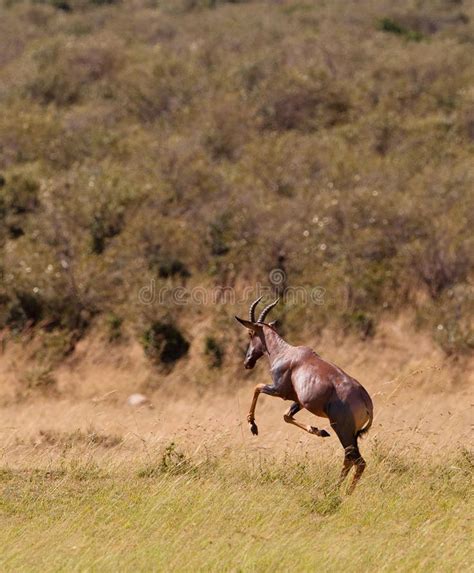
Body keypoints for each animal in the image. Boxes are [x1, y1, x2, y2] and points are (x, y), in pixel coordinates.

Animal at [235, 294, 372, 492]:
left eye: (250, 333)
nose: (247, 362)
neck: (287, 353)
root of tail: (366, 400)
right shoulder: (298, 400)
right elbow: (286, 416)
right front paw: (319, 431)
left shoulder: (279, 391)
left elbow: (257, 387)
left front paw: (253, 426)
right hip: (352, 434)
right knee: (352, 460)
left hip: (342, 429)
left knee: (356, 460)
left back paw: (340, 491)